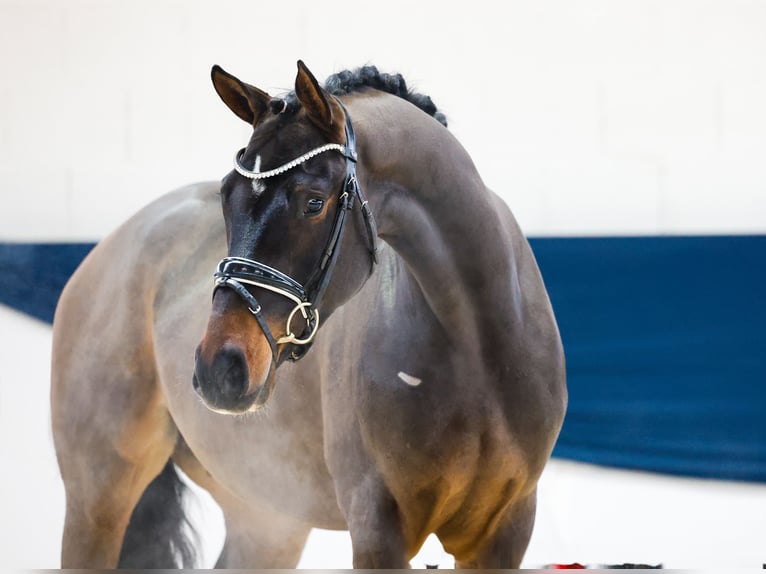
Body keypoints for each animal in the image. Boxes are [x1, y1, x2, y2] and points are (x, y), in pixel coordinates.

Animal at [51, 59, 568, 572]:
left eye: (313, 202)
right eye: (227, 195)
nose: (220, 369)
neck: (476, 345)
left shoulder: (505, 532)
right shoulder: (377, 526)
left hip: (267, 517)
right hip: (98, 500)